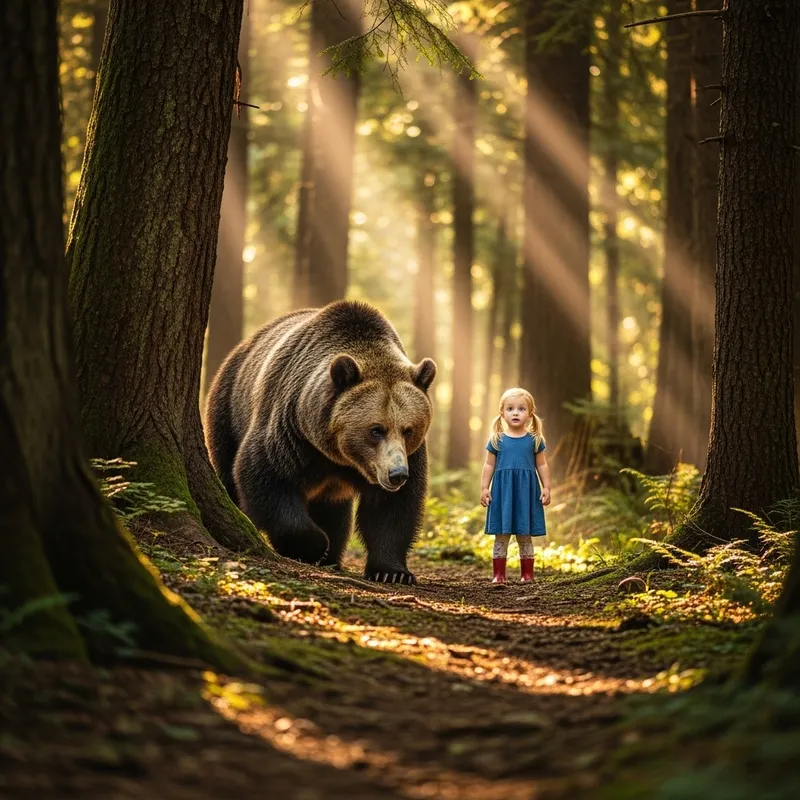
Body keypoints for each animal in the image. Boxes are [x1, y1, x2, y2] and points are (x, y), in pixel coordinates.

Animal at [204, 300, 437, 585]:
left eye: (408, 430)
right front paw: (314, 546)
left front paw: (392, 572)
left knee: (333, 510)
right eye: (376, 430)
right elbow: (266, 476)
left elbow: (393, 508)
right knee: (227, 474)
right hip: (228, 408)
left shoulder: (407, 457)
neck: (339, 456)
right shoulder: (291, 432)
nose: (397, 474)